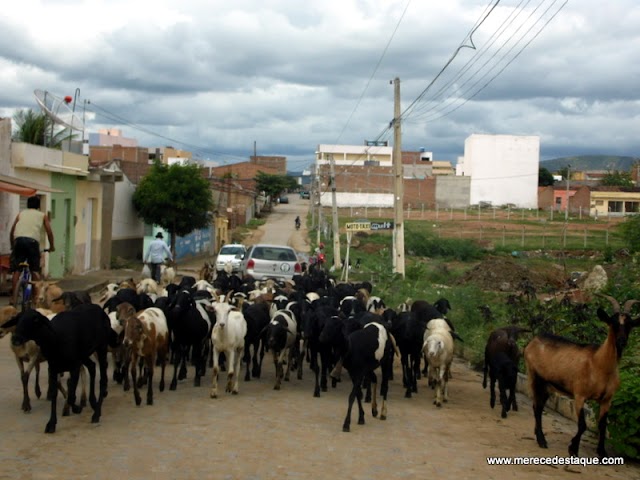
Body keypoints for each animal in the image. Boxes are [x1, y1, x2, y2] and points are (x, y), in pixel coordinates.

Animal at [524, 296, 640, 458]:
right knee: (536, 407)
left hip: (548, 385)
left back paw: (538, 435)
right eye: (613, 322)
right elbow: (582, 425)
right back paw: (542, 441)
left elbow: (602, 426)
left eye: (630, 324)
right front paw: (573, 448)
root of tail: (532, 341)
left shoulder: (607, 400)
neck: (599, 364)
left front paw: (602, 453)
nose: (622, 341)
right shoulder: (580, 395)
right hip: (535, 377)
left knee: (539, 406)